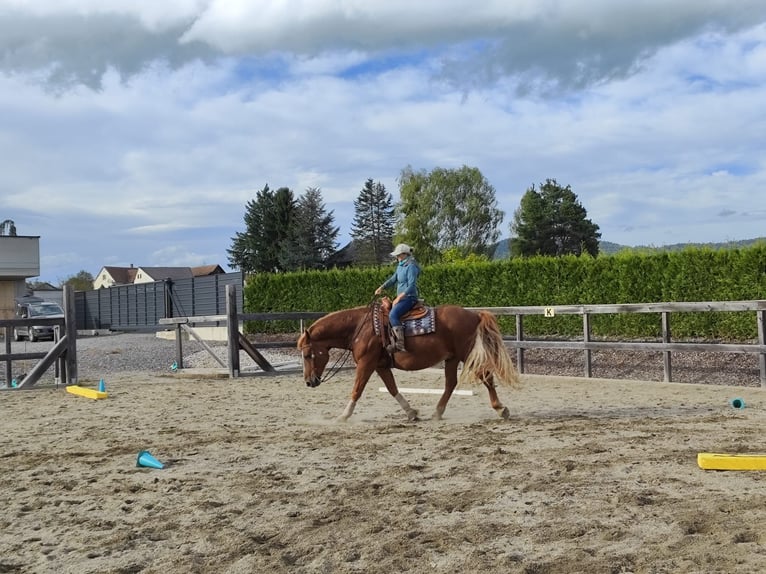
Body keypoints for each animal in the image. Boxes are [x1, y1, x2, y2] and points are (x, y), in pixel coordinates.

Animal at [296, 302, 524, 424]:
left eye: (307, 355)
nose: (308, 382)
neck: (360, 328)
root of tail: (474, 314)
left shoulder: (366, 363)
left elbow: (357, 389)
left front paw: (343, 416)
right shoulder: (380, 365)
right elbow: (392, 388)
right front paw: (411, 412)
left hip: (466, 354)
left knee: (485, 377)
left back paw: (501, 409)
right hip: (451, 358)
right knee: (450, 384)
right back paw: (437, 412)